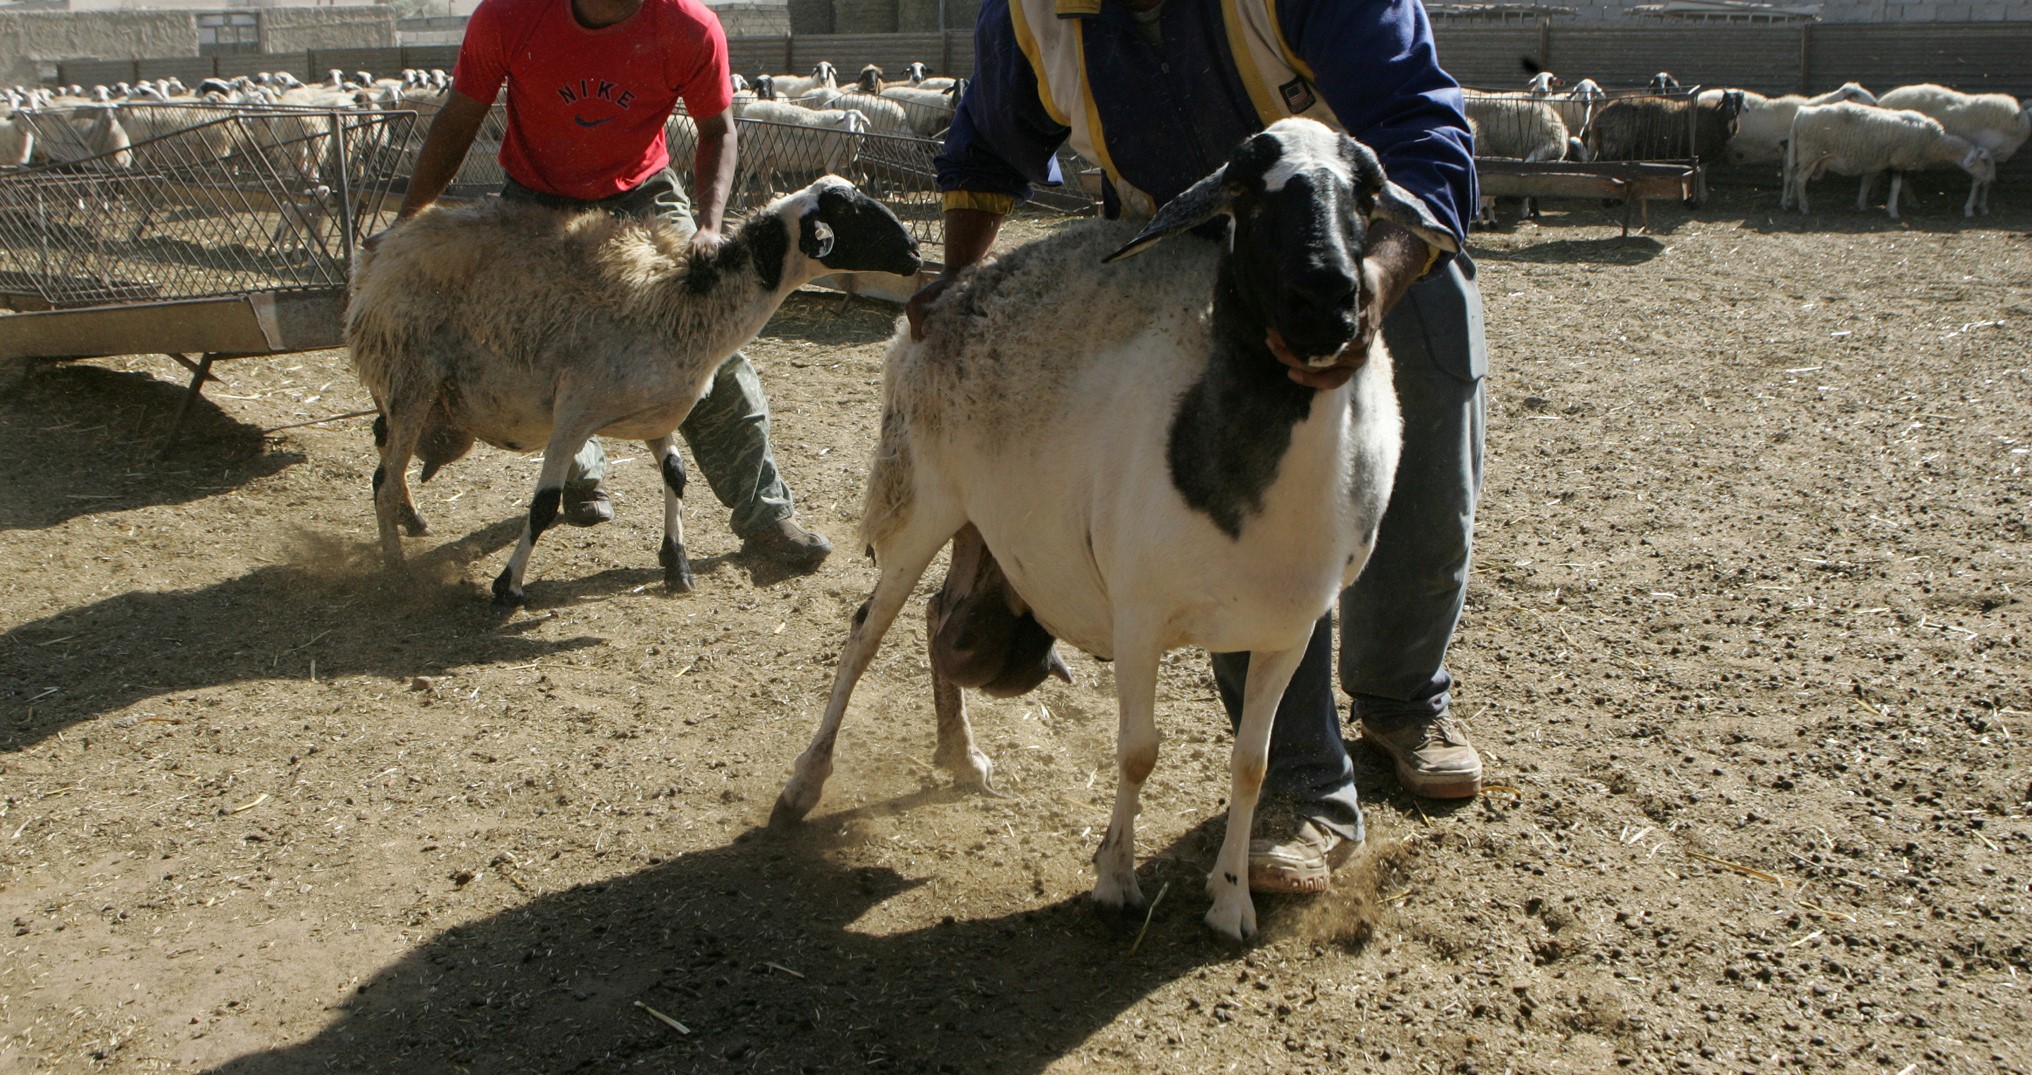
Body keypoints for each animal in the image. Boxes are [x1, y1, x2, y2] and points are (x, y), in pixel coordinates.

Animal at [1869, 82, 2032, 214]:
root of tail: (1882, 99)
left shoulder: (1991, 157)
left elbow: (1985, 181)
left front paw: (1981, 205)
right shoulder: (1983, 151)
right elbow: (1978, 181)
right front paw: (1971, 208)